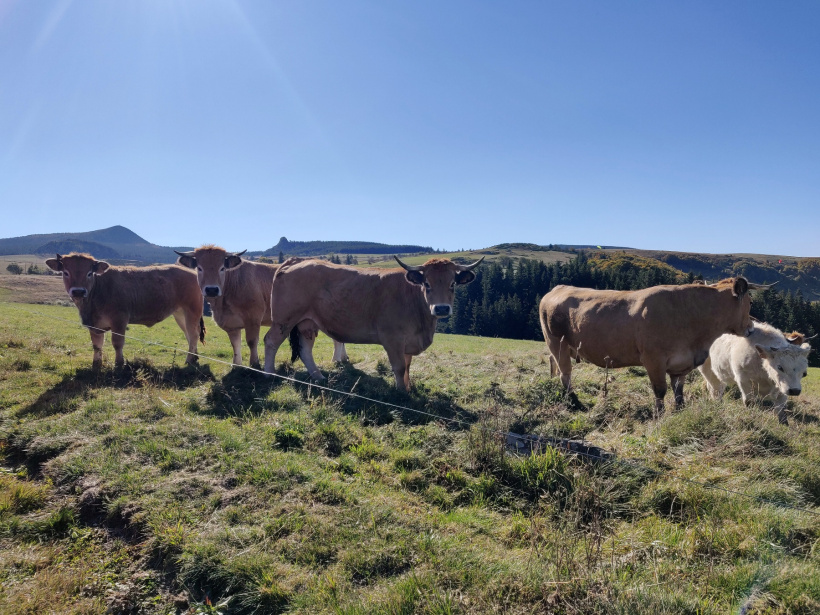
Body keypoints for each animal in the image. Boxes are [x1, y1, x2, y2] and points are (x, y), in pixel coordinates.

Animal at [45, 253, 205, 368]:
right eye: (65, 272)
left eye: (89, 273)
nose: (78, 291)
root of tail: (192, 272)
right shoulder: (94, 324)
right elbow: (97, 345)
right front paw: (96, 364)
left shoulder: (119, 320)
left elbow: (117, 343)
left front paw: (119, 364)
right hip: (180, 314)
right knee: (189, 334)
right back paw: (194, 357)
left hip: (192, 311)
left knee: (193, 334)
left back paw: (189, 360)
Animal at [176, 247, 346, 370]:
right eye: (199, 268)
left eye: (222, 268)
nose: (211, 290)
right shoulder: (231, 323)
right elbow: (235, 343)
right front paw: (236, 365)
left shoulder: (253, 317)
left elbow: (252, 341)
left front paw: (255, 364)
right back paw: (342, 358)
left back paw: (336, 360)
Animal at [262, 255, 484, 390]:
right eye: (427, 284)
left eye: (453, 283)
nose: (441, 308)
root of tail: (295, 261)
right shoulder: (393, 338)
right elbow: (399, 367)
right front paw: (401, 392)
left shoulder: (407, 341)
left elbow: (408, 366)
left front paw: (408, 387)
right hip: (284, 319)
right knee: (271, 341)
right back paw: (269, 374)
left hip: (307, 322)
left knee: (305, 349)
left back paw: (318, 377)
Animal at [540, 280, 756, 414]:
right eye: (750, 302)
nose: (752, 328)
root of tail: (559, 288)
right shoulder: (654, 360)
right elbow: (660, 390)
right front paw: (659, 415)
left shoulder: (681, 363)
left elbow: (678, 390)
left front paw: (680, 410)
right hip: (556, 343)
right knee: (565, 375)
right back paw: (574, 402)